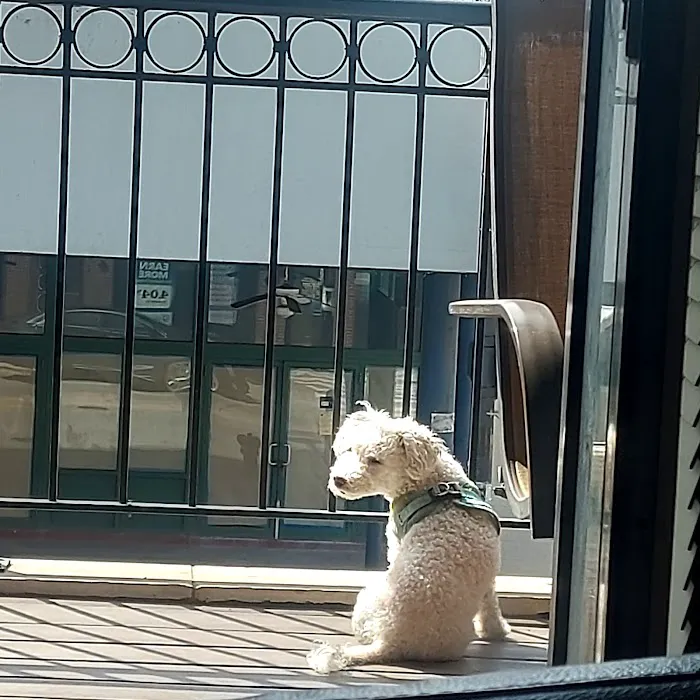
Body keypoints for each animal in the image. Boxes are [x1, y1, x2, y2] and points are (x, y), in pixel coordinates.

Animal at [306, 402, 510, 675]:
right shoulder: (489, 577)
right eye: (350, 450)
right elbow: (490, 602)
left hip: (365, 600)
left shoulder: (395, 542)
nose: (339, 480)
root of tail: (390, 642)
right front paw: (496, 631)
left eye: (375, 460)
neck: (434, 484)